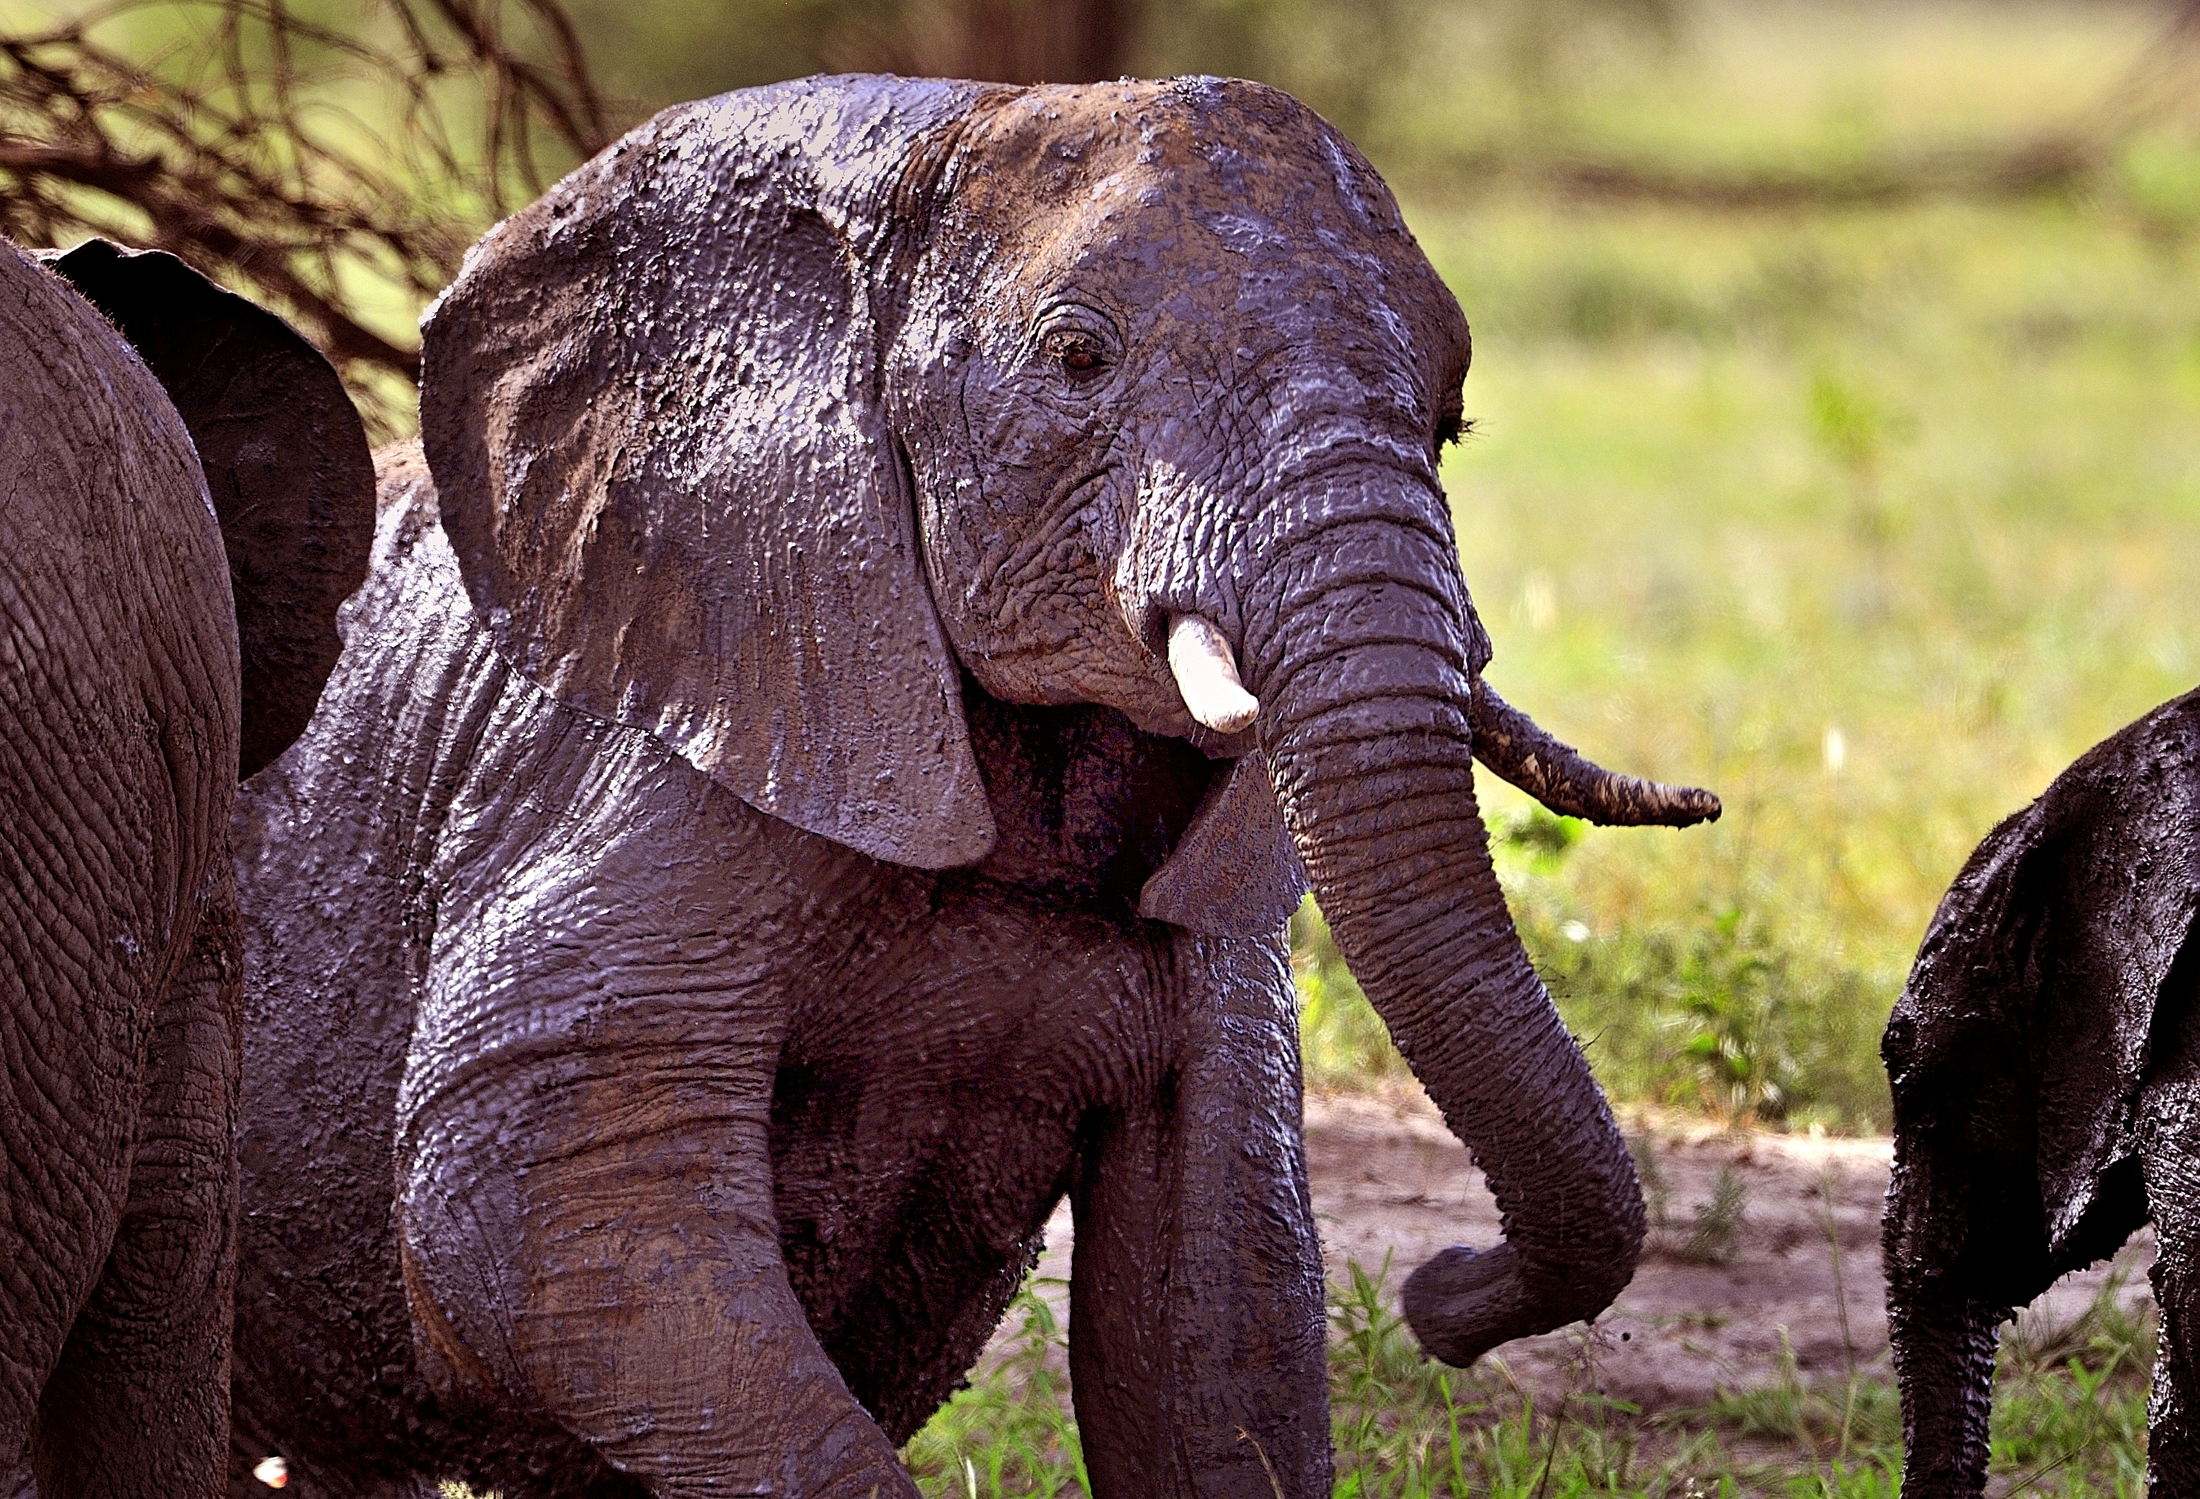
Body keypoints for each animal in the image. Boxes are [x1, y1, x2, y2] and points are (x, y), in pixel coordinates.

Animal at [226, 74, 1719, 1499]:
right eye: (1078, 358)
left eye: (1451, 420)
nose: (1441, 1292)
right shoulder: (642, 750)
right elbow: (543, 1188)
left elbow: (1220, 1306)